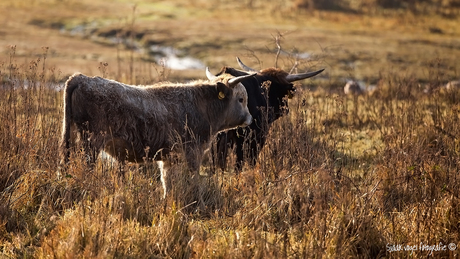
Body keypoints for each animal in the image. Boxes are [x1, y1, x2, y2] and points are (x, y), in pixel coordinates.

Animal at [58, 70, 255, 198]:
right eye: (241, 99)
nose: (250, 119)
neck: (202, 107)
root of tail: (81, 78)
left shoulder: (169, 157)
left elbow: (166, 182)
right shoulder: (193, 153)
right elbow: (193, 179)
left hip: (70, 137)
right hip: (91, 143)